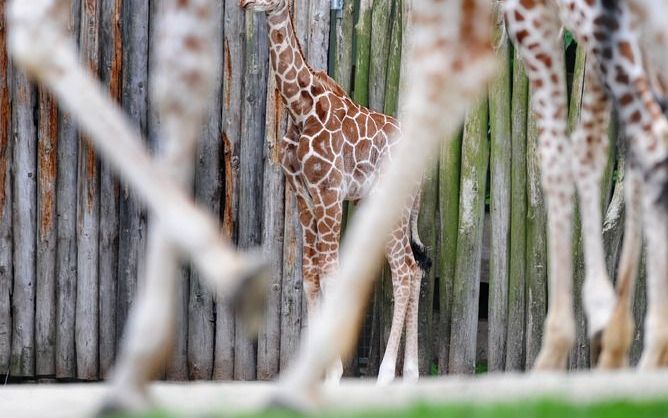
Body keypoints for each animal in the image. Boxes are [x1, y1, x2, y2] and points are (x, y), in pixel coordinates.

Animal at [240, 0, 428, 386]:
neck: (300, 108)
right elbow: (310, 276)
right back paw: (411, 374)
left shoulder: (328, 193)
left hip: (394, 206)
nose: (244, 3)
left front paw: (333, 373)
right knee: (415, 268)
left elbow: (330, 274)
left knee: (404, 271)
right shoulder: (303, 195)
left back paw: (386, 374)